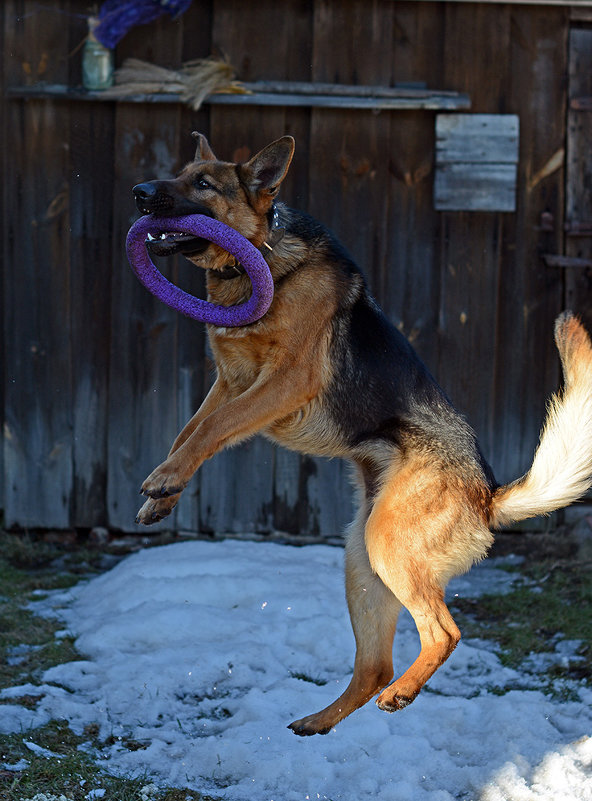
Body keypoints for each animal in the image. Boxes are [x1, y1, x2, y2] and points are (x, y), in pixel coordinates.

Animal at [132, 134, 592, 736]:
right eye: (182, 173)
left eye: (203, 184)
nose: (139, 192)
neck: (262, 257)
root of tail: (487, 496)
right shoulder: (229, 381)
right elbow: (191, 429)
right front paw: (164, 493)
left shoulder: (279, 384)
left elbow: (214, 427)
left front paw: (163, 481)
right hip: (363, 562)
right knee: (374, 666)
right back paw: (321, 721)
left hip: (388, 545)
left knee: (444, 633)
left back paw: (402, 694)